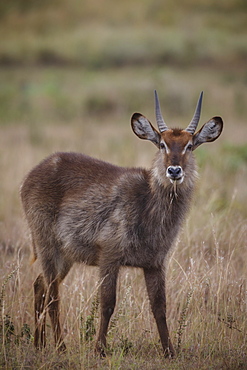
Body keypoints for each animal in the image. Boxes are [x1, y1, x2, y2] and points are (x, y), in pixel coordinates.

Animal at [20, 89, 223, 356]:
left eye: (189, 145)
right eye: (162, 144)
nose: (174, 171)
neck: (148, 207)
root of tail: (32, 174)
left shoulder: (155, 263)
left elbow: (160, 307)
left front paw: (169, 351)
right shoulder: (109, 255)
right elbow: (108, 304)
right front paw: (100, 349)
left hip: (66, 255)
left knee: (39, 285)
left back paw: (38, 344)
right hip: (46, 244)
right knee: (53, 295)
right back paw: (60, 347)